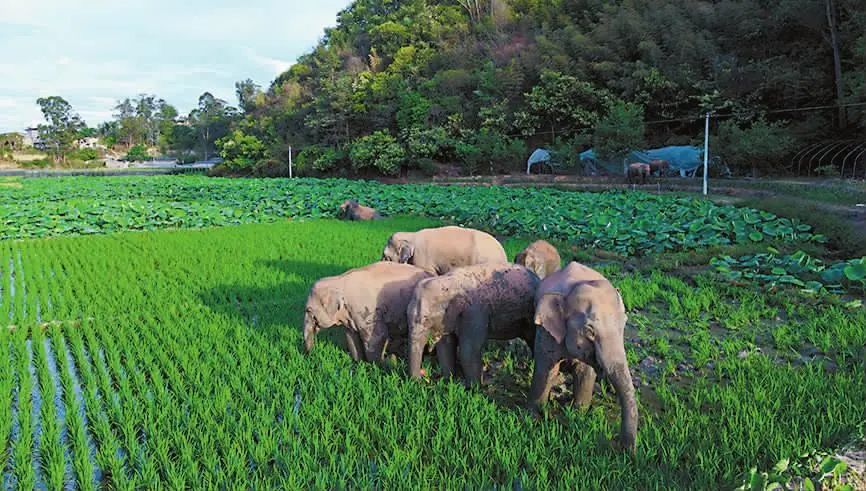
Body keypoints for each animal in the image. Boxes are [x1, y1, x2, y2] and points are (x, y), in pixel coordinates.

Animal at [524, 262, 636, 454]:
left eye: (624, 324)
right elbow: (546, 369)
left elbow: (585, 372)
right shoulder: (547, 332)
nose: (624, 450)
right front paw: (534, 417)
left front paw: (578, 414)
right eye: (590, 331)